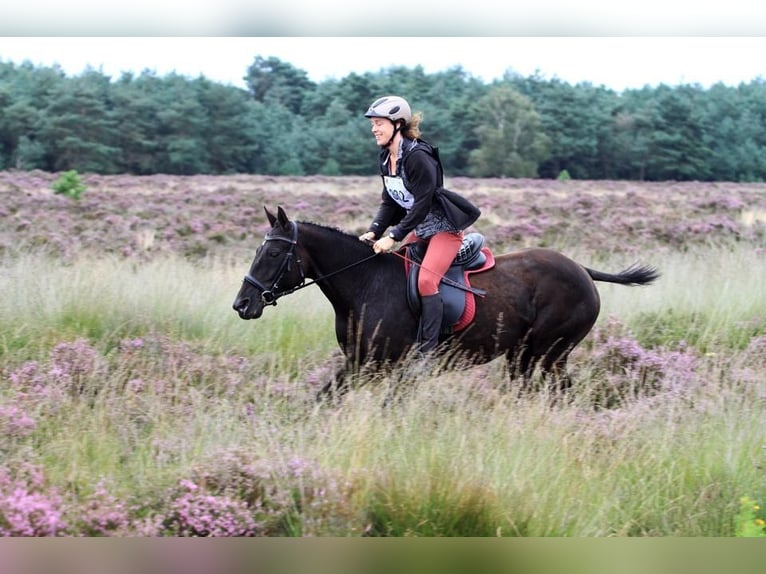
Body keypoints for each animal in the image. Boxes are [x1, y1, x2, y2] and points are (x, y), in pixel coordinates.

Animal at [232, 208, 660, 400]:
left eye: (273, 253)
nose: (242, 303)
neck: (366, 283)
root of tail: (583, 271)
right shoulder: (358, 363)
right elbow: (322, 399)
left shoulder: (392, 368)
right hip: (527, 357)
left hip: (545, 353)